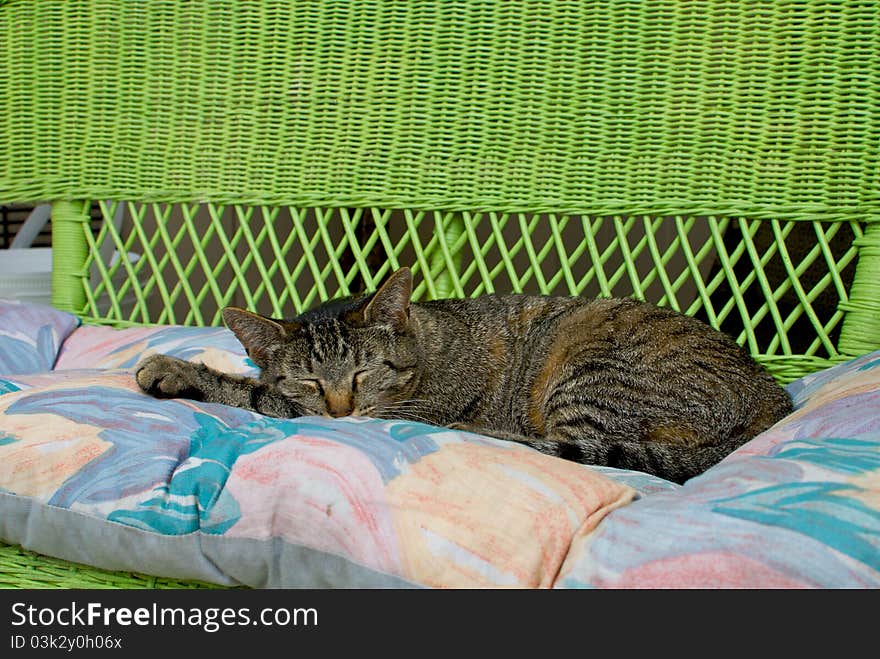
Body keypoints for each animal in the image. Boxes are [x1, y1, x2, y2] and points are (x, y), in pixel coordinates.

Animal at [136, 266, 792, 484]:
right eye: (310, 379)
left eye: (365, 371)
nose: (343, 410)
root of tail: (775, 402)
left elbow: (252, 393)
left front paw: (172, 368)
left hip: (592, 371)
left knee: (566, 448)